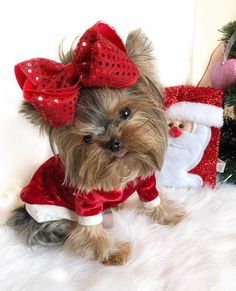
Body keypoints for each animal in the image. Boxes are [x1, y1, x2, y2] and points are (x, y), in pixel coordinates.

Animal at [8, 21, 185, 266]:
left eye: (125, 112)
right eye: (87, 138)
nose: (113, 143)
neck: (122, 168)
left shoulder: (145, 180)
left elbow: (153, 198)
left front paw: (168, 214)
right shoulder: (85, 200)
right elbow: (91, 230)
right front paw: (111, 252)